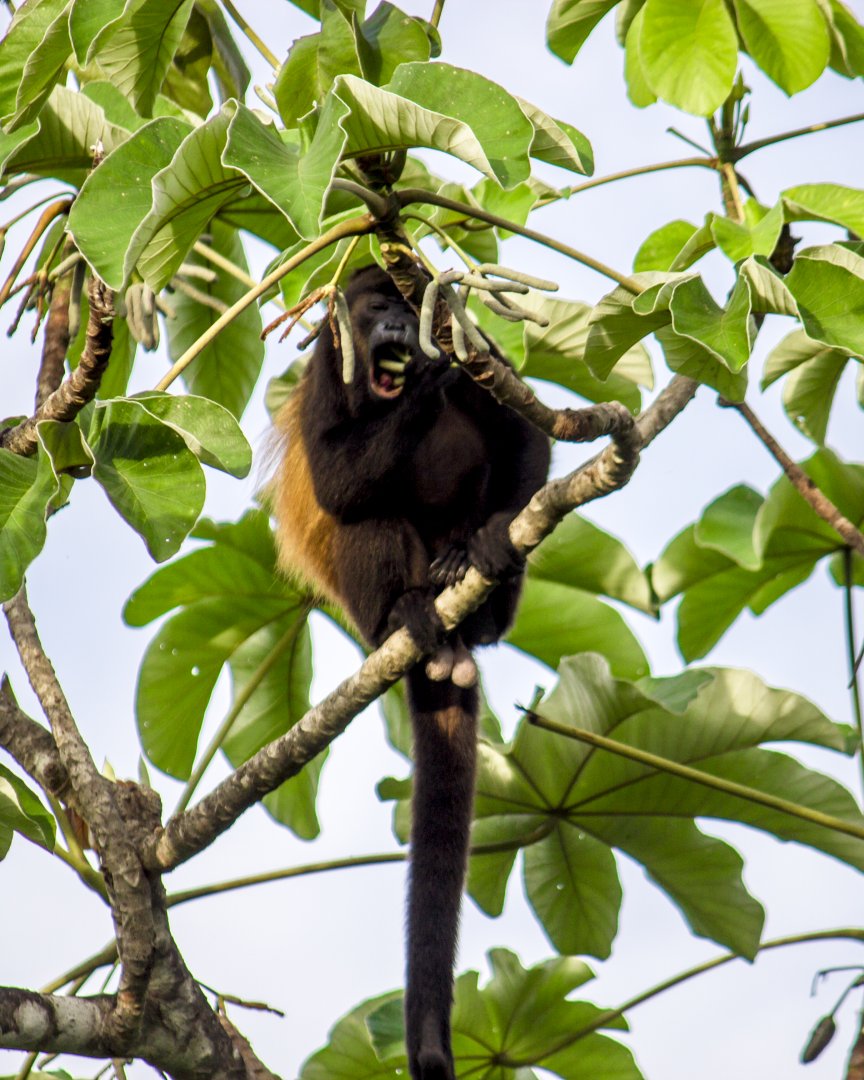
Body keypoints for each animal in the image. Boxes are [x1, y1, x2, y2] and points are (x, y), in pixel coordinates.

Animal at [273, 265, 550, 1080]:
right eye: (374, 308)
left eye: (407, 302)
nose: (400, 328)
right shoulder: (324, 368)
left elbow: (525, 433)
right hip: (369, 610)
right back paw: (408, 612)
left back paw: (477, 559)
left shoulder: (478, 347)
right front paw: (423, 384)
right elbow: (335, 481)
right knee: (367, 517)